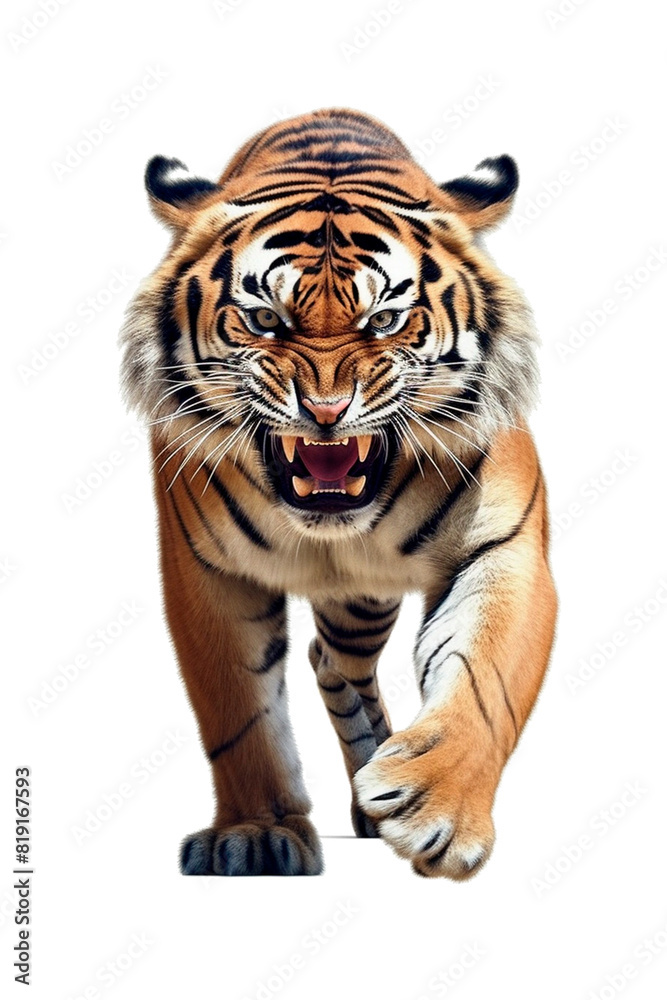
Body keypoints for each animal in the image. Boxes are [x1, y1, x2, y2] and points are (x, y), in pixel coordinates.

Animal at [120, 107, 557, 879]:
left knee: (338, 661)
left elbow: (485, 680)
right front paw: (255, 832)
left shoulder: (505, 548)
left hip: (364, 598)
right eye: (265, 320)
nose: (325, 410)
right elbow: (238, 712)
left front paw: (435, 808)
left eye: (383, 321)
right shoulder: (208, 573)